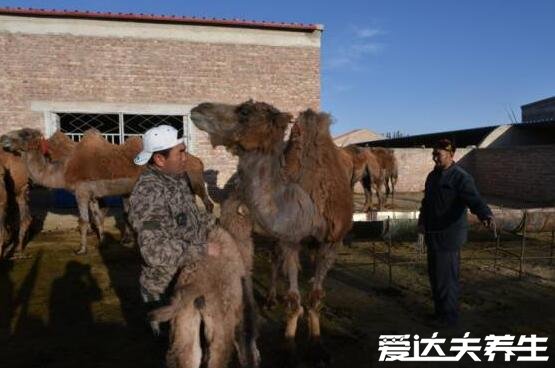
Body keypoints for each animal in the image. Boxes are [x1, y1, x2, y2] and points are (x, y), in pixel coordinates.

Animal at [0, 128, 215, 254]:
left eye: (25, 134)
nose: (3, 139)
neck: (63, 170)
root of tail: (196, 160)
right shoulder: (93, 195)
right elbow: (97, 217)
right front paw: (103, 242)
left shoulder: (81, 192)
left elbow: (84, 220)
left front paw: (81, 250)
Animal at [149, 193, 260, 368]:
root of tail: (195, 283)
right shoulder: (244, 297)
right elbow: (247, 330)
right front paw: (252, 357)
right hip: (220, 320)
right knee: (218, 354)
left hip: (184, 320)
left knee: (189, 354)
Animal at [191, 100, 354, 354]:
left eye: (244, 111)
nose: (199, 108)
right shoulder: (290, 239)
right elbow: (294, 299)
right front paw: (289, 345)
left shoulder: (331, 241)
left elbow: (315, 297)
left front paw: (316, 342)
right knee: (261, 260)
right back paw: (265, 300)